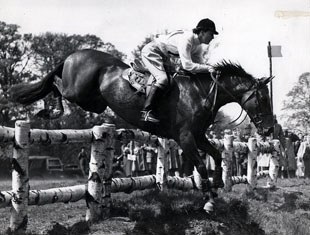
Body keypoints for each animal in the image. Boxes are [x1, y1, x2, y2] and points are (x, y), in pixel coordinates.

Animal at [9, 48, 274, 212]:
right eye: (262, 100)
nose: (269, 130)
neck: (202, 92)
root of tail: (74, 54)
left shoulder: (198, 136)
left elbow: (217, 156)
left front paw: (218, 184)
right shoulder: (186, 138)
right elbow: (200, 165)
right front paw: (208, 200)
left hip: (95, 102)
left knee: (57, 85)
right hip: (78, 92)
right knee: (55, 83)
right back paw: (49, 111)